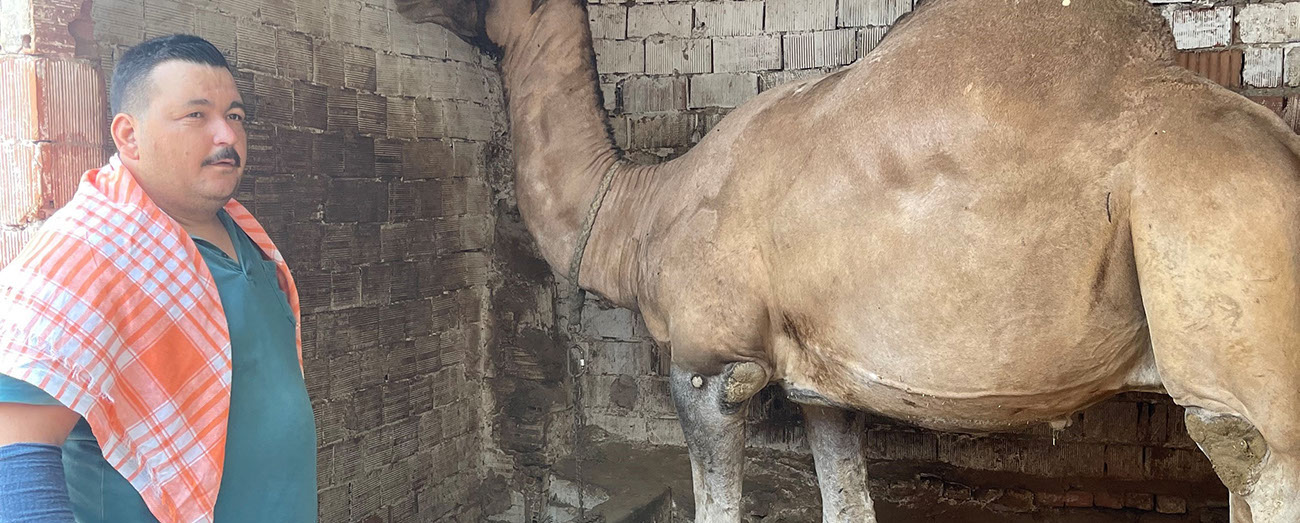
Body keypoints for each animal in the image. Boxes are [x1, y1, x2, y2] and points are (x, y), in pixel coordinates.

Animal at [397, 0, 1300, 520]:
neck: (641, 215)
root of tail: (1282, 147)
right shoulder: (822, 385)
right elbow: (849, 502)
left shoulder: (709, 369)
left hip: (1231, 312)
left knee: (1247, 455)